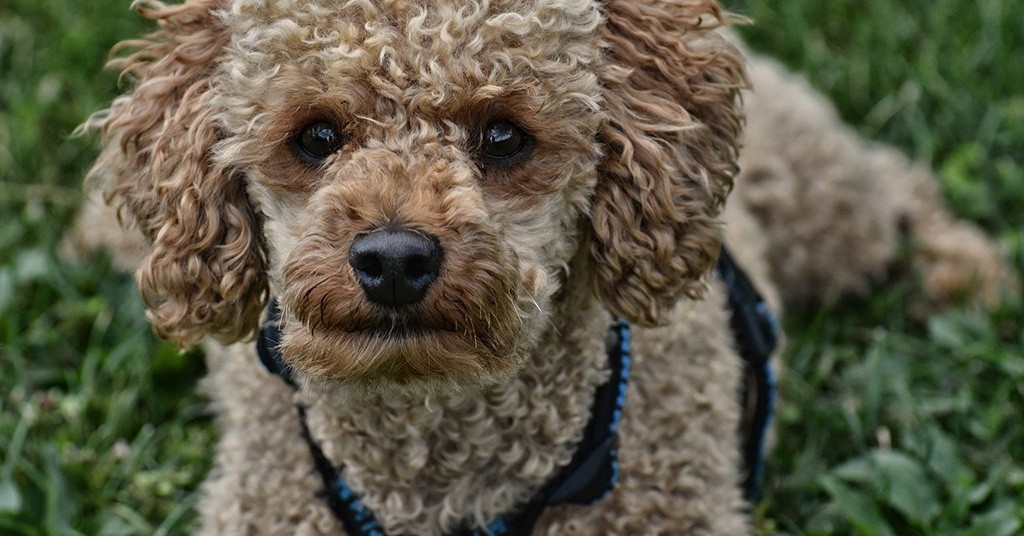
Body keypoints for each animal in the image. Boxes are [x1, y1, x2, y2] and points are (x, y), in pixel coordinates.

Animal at [76, 0, 1010, 533]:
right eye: (315, 136)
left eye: (502, 135)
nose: (393, 259)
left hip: (825, 206)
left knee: (895, 188)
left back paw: (965, 272)